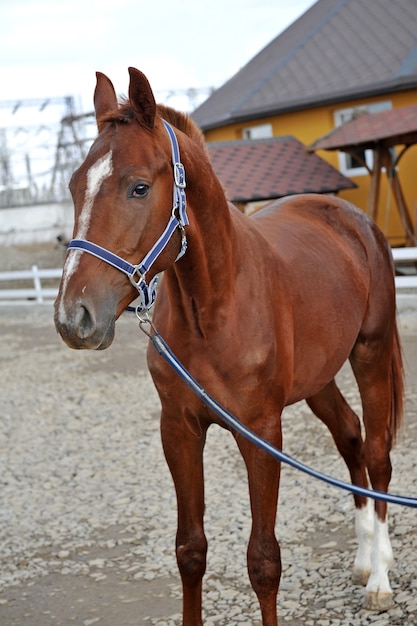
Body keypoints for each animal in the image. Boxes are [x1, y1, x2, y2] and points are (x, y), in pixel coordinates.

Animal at [53, 68, 402, 624]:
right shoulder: (179, 430)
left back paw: (381, 579)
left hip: (370, 352)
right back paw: (366, 560)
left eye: (138, 187)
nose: (74, 317)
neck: (215, 307)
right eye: (73, 186)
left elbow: (263, 561)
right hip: (319, 376)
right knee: (350, 438)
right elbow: (190, 550)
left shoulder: (261, 433)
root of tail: (352, 217)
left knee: (377, 454)